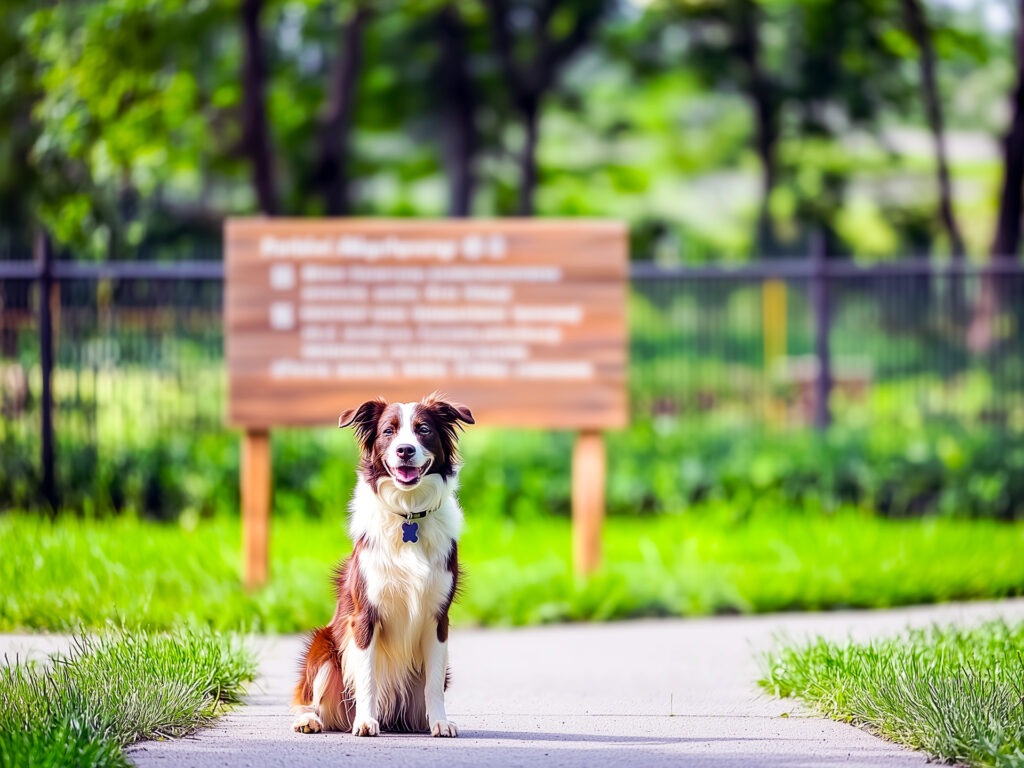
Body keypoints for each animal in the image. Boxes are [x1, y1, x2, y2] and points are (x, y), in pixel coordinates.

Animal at [292, 393, 475, 737]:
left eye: (424, 429)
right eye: (389, 431)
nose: (405, 450)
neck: (408, 513)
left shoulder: (438, 619)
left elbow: (433, 685)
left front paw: (440, 722)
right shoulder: (364, 616)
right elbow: (367, 677)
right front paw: (365, 721)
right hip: (322, 648)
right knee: (309, 697)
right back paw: (310, 719)